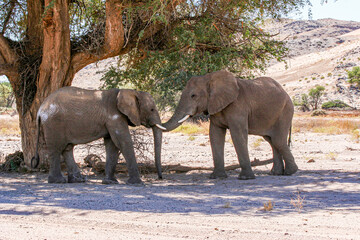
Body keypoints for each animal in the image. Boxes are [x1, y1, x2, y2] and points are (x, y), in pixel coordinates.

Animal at [31, 86, 166, 184]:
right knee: (56, 149)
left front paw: (110, 182)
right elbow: (123, 141)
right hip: (53, 123)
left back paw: (77, 180)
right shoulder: (114, 117)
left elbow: (112, 145)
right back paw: (58, 181)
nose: (160, 177)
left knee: (67, 149)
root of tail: (40, 109)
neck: (130, 91)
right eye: (152, 109)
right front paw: (137, 183)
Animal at [163, 69, 298, 180]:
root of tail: (286, 93)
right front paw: (217, 177)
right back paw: (276, 173)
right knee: (271, 140)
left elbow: (237, 135)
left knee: (278, 140)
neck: (209, 78)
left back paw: (290, 172)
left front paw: (245, 178)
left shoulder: (238, 106)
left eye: (193, 96)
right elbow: (215, 135)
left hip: (285, 111)